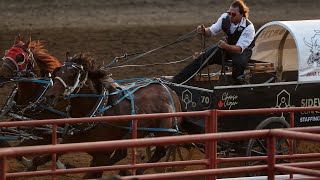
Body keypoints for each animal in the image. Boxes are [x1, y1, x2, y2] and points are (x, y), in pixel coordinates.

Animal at [39, 52, 182, 179]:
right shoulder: (72, 139)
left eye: (73, 75)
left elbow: (94, 171)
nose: (50, 96)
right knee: (121, 154)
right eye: (58, 73)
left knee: (160, 152)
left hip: (163, 132)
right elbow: (44, 158)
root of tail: (171, 91)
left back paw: (136, 171)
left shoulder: (103, 153)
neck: (98, 111)